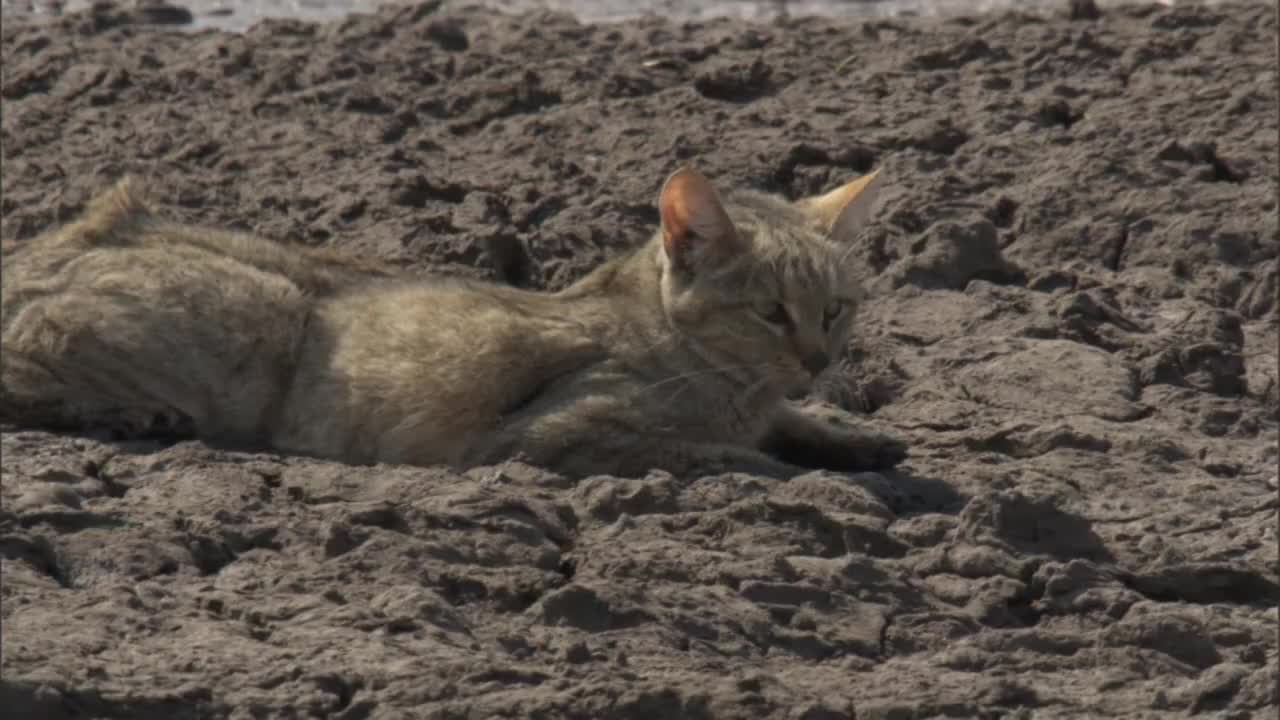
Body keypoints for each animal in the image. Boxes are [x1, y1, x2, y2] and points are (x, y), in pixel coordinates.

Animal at [0, 166, 906, 479]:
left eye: (837, 310)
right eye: (771, 314)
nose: (819, 362)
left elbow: (787, 427)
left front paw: (850, 438)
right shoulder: (544, 438)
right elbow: (715, 453)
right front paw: (795, 464)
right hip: (268, 312)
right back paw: (127, 413)